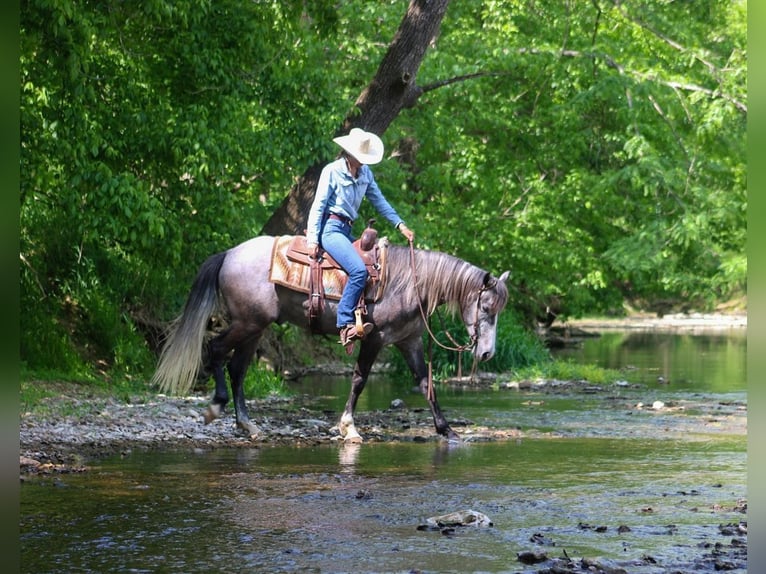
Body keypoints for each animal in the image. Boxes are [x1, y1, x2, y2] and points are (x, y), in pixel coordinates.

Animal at [151, 234, 510, 443]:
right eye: (486, 307)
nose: (487, 354)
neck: (409, 283)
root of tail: (228, 254)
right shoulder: (375, 338)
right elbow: (359, 380)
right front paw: (348, 427)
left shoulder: (409, 342)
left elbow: (426, 383)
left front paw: (446, 428)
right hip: (247, 323)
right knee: (216, 350)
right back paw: (216, 407)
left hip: (255, 327)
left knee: (237, 368)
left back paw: (247, 425)